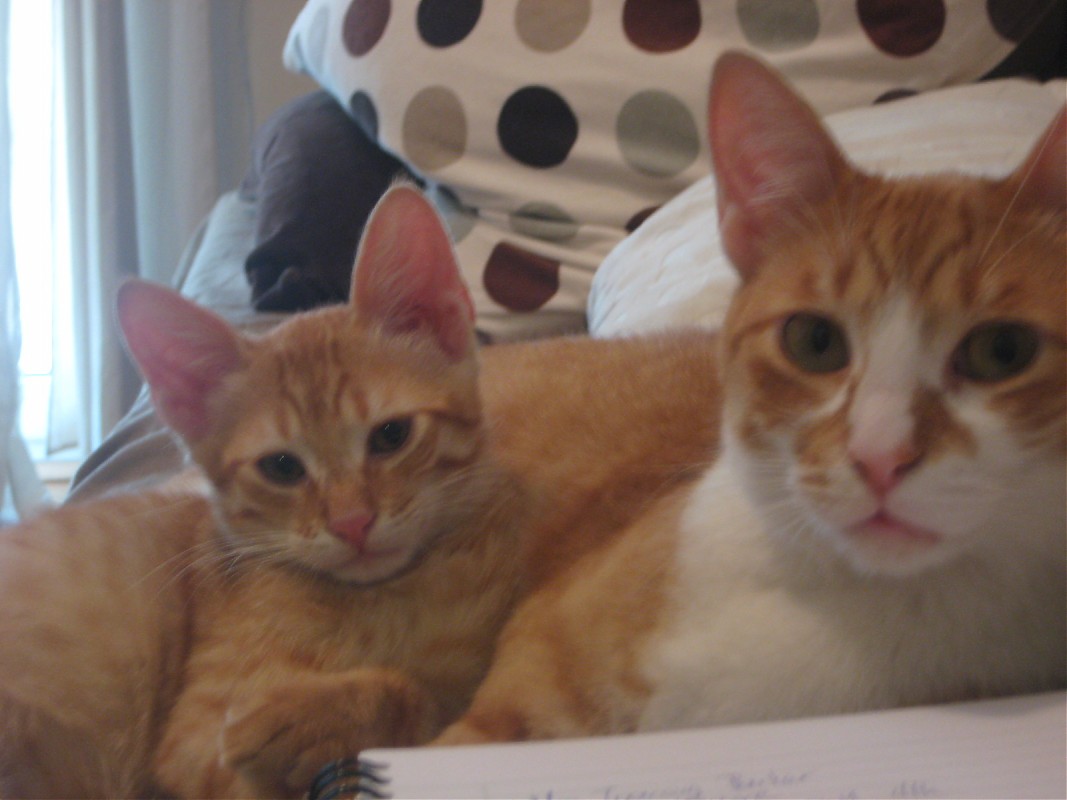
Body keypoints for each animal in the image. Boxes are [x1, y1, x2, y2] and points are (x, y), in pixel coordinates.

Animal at [0, 185, 719, 798]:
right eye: (282, 468)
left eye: (390, 435)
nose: (351, 522)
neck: (384, 603)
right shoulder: (194, 741)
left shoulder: (474, 677)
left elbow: (427, 704)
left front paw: (322, 717)